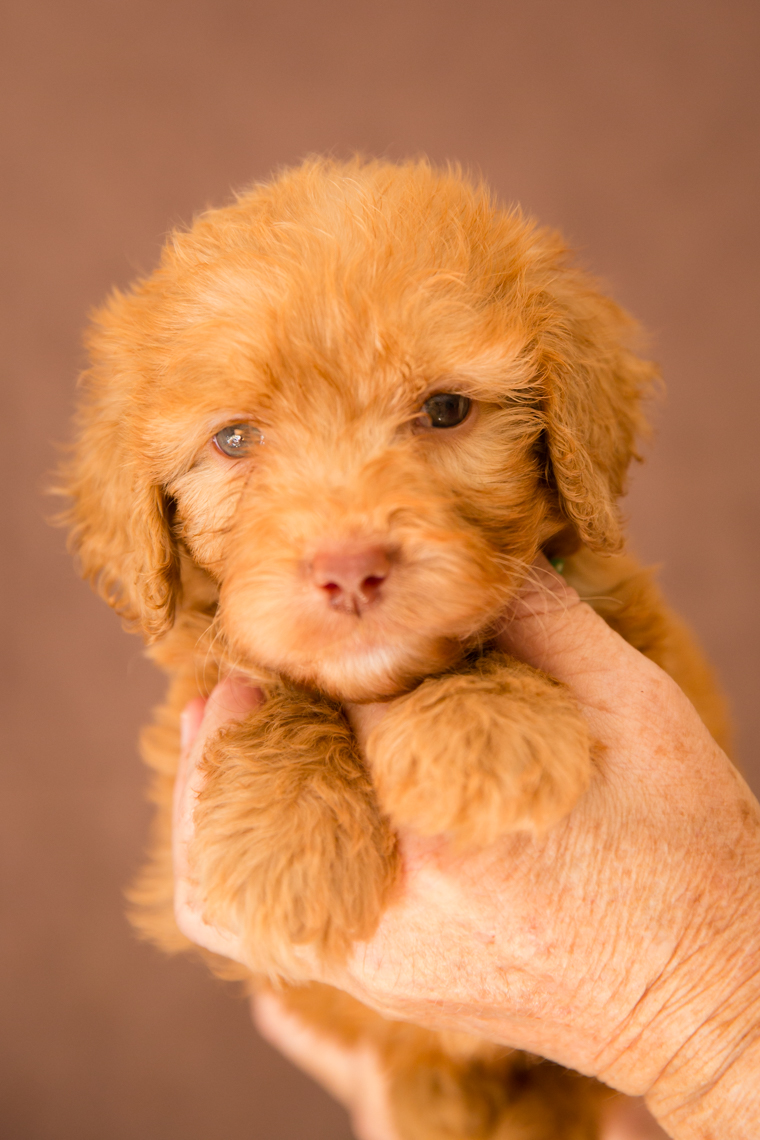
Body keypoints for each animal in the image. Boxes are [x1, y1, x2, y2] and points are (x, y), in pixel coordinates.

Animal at [62, 160, 729, 1140]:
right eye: (233, 439)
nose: (349, 569)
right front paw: (288, 843)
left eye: (445, 410)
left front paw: (481, 739)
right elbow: (266, 682)